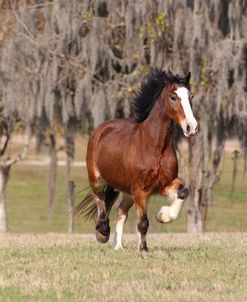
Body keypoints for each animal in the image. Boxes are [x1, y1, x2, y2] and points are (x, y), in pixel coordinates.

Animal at [74, 69, 198, 251]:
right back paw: (103, 233)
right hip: (97, 179)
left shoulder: (165, 184)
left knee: (120, 212)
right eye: (173, 97)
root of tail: (100, 130)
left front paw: (163, 215)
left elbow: (183, 192)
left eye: (190, 96)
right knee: (100, 200)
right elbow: (143, 223)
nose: (192, 127)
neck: (153, 146)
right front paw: (143, 249)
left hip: (128, 192)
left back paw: (118, 246)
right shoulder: (141, 190)